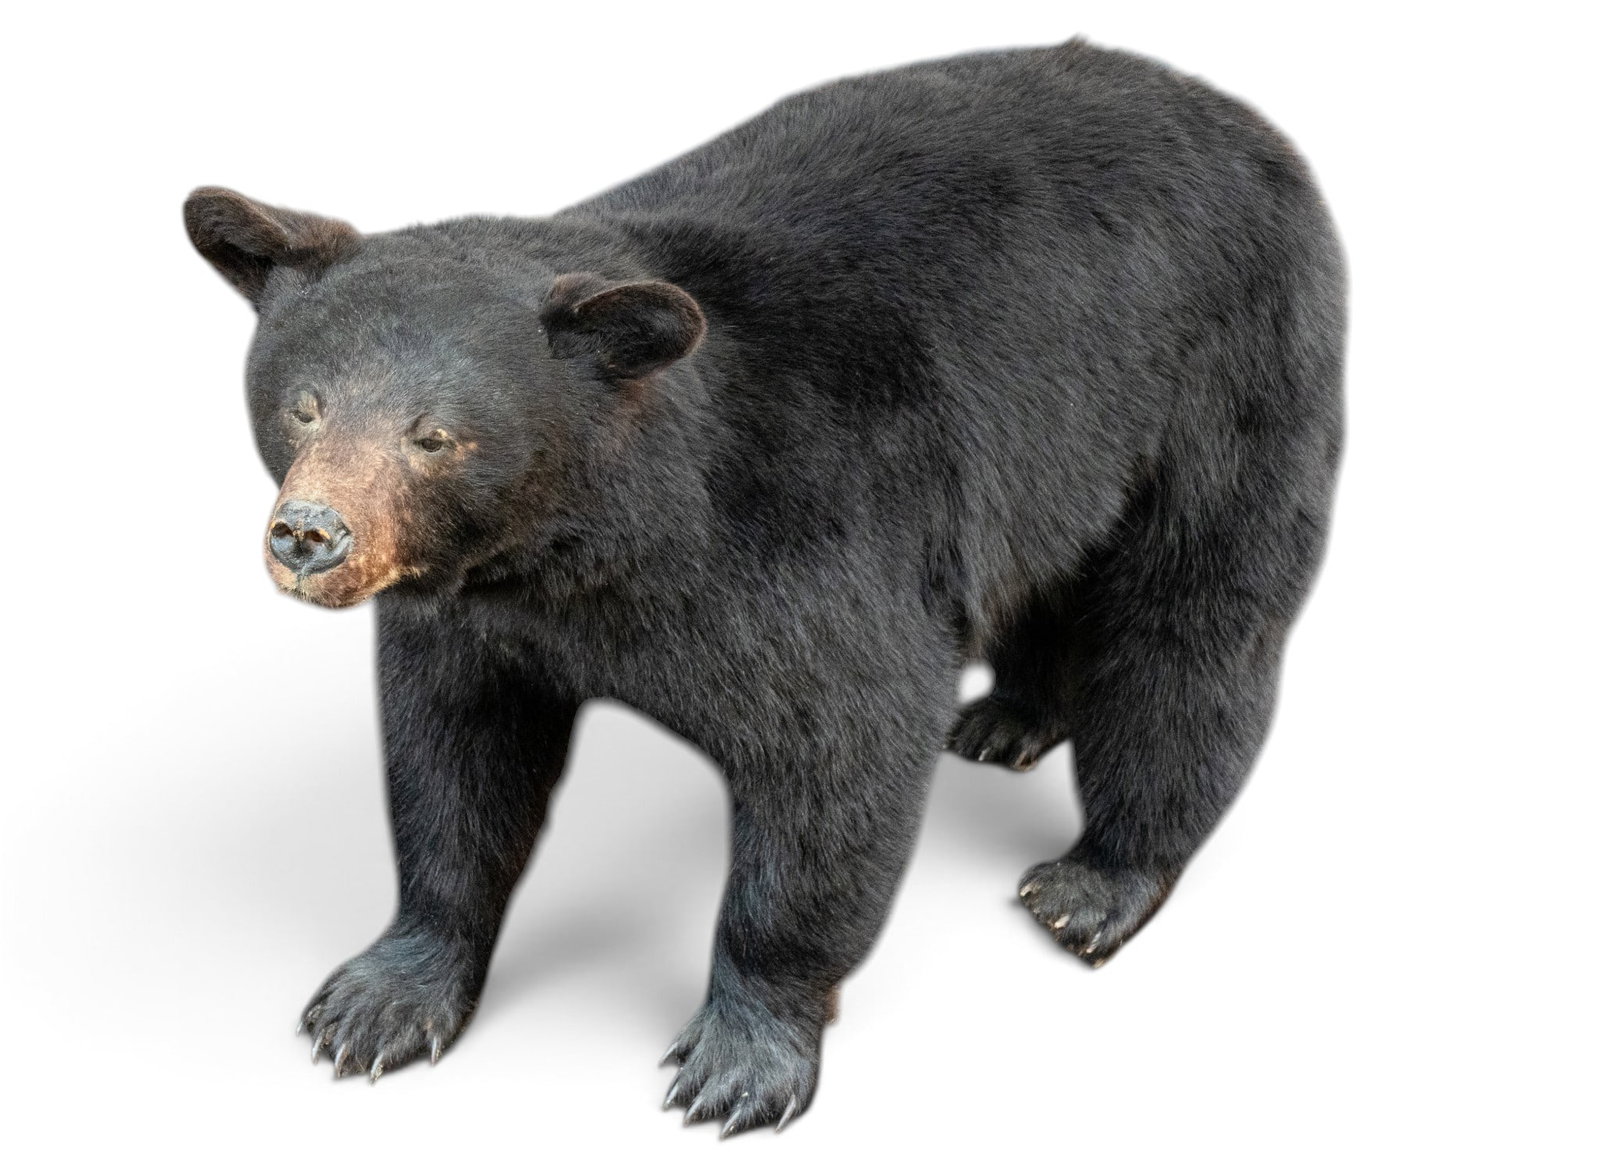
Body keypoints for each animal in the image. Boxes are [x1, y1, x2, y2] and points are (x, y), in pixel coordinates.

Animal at [183, 38, 1343, 1136]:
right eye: (303, 402)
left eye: (435, 435)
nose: (309, 534)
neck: (602, 535)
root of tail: (1234, 113)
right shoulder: (482, 613)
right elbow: (454, 759)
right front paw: (381, 996)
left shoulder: (815, 527)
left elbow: (841, 755)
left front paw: (741, 1058)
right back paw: (1008, 717)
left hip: (1226, 374)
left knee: (1193, 626)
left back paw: (1098, 877)